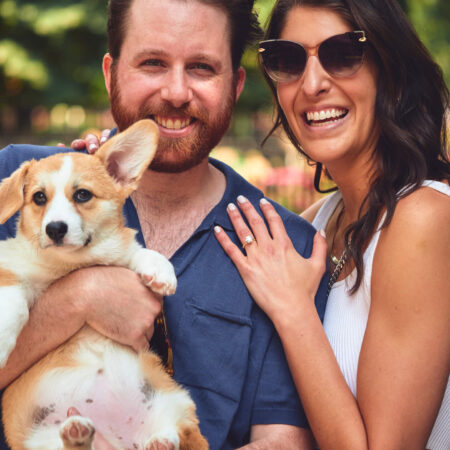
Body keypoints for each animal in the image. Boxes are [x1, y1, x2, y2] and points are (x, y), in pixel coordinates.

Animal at [0, 120, 207, 450]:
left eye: (83, 195)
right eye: (39, 198)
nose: (55, 229)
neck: (71, 264)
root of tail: (115, 442)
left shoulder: (116, 254)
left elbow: (135, 250)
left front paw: (161, 271)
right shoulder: (10, 267)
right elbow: (15, 302)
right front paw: (2, 342)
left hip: (174, 401)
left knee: (181, 433)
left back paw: (160, 440)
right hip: (41, 440)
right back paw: (78, 433)